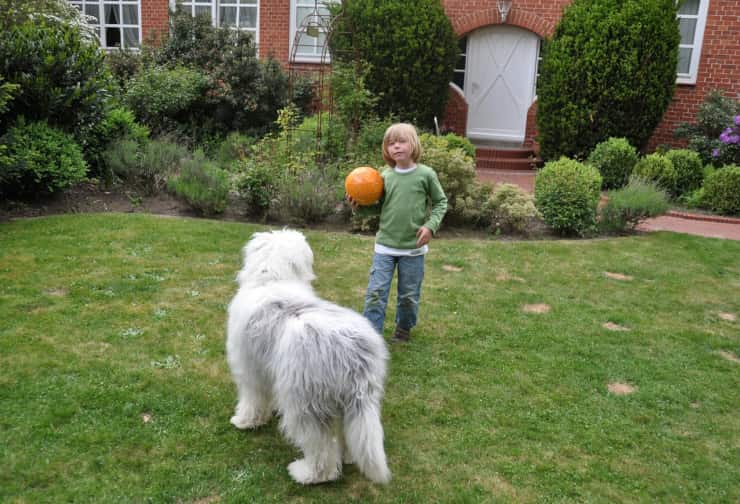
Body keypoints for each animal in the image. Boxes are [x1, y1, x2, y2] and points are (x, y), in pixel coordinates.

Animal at [225, 228, 390, 484]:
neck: (272, 278)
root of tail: (352, 353)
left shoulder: (250, 369)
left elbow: (252, 400)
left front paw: (244, 421)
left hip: (306, 403)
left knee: (320, 449)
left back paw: (306, 473)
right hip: (352, 402)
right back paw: (348, 457)